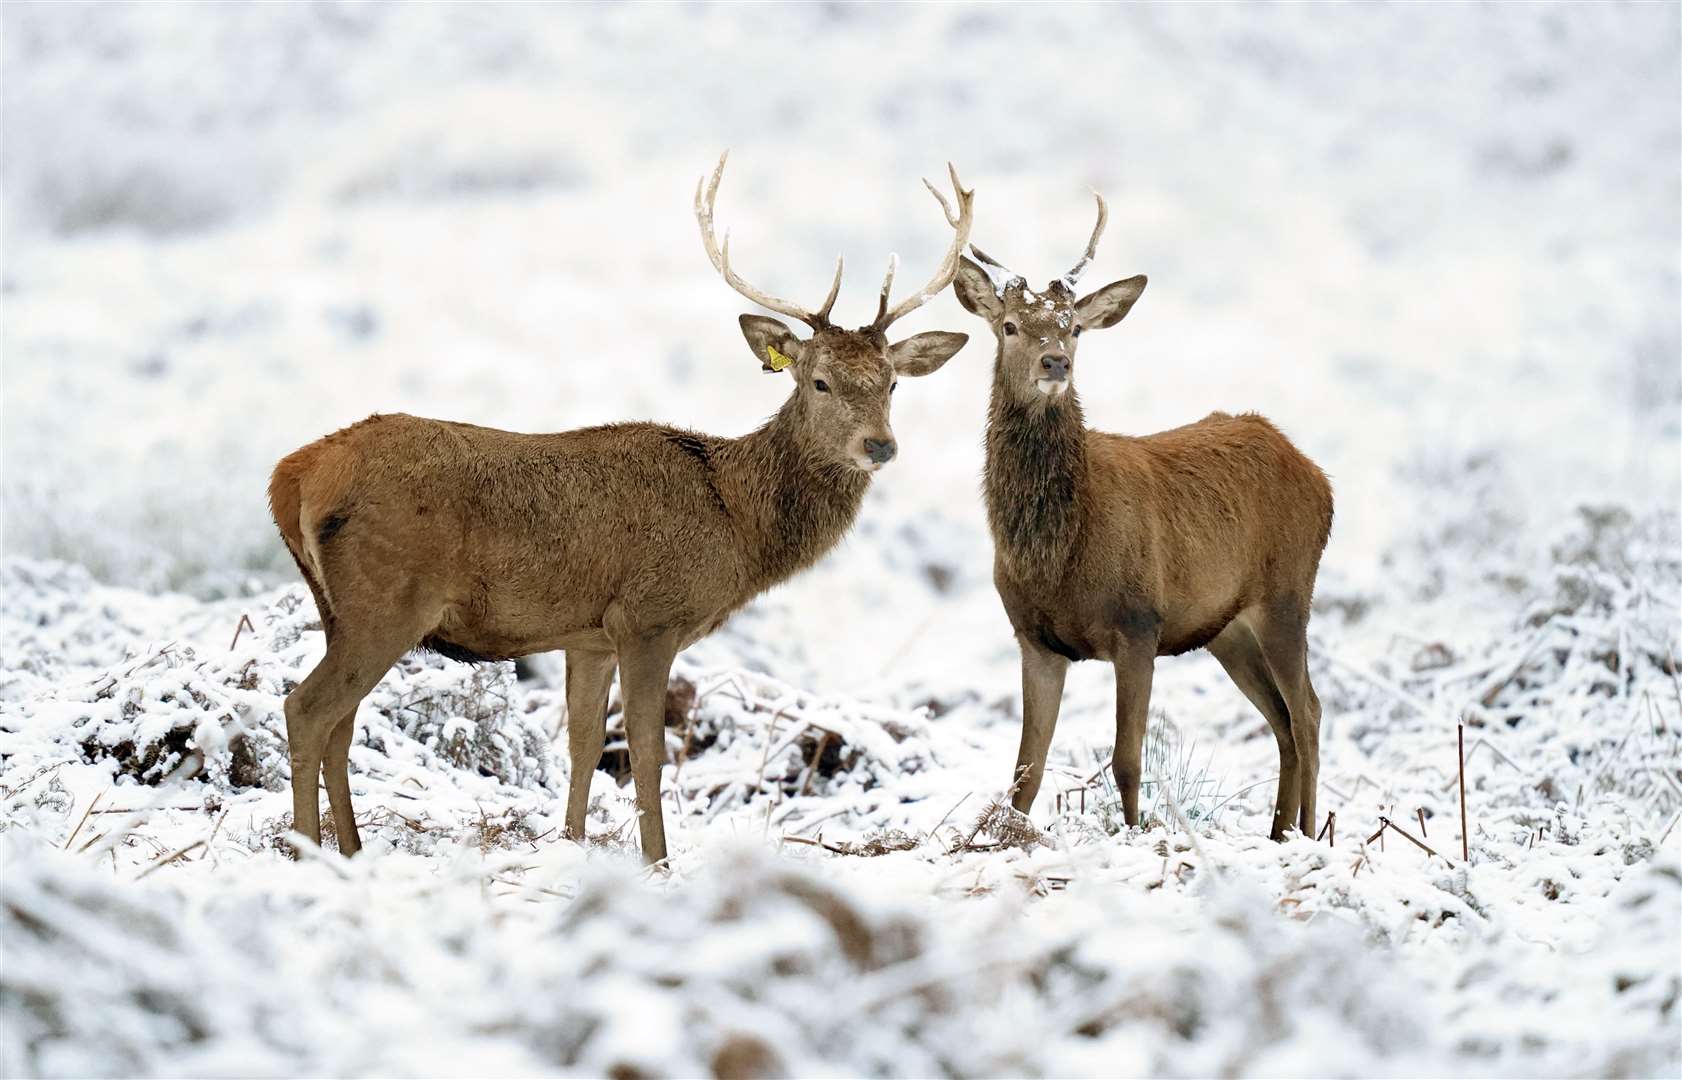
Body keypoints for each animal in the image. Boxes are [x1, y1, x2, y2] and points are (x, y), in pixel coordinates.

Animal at [264, 153, 975, 857]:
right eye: (820, 381)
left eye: (891, 384)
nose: (879, 445)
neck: (736, 522)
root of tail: (290, 475)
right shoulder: (650, 616)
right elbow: (644, 753)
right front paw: (658, 861)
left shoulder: (590, 635)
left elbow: (581, 745)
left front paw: (573, 844)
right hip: (386, 599)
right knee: (308, 710)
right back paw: (308, 849)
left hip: (339, 607)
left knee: (341, 723)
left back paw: (350, 849)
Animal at [955, 195, 1332, 841]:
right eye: (1009, 325)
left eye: (1075, 327)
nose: (1054, 362)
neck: (1057, 552)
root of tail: (1321, 480)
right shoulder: (1034, 638)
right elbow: (1026, 768)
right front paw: (1006, 841)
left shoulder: (1138, 623)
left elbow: (1127, 759)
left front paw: (1132, 836)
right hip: (1226, 628)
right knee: (1283, 720)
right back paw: (1278, 832)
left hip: (1288, 591)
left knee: (1308, 710)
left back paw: (1307, 834)